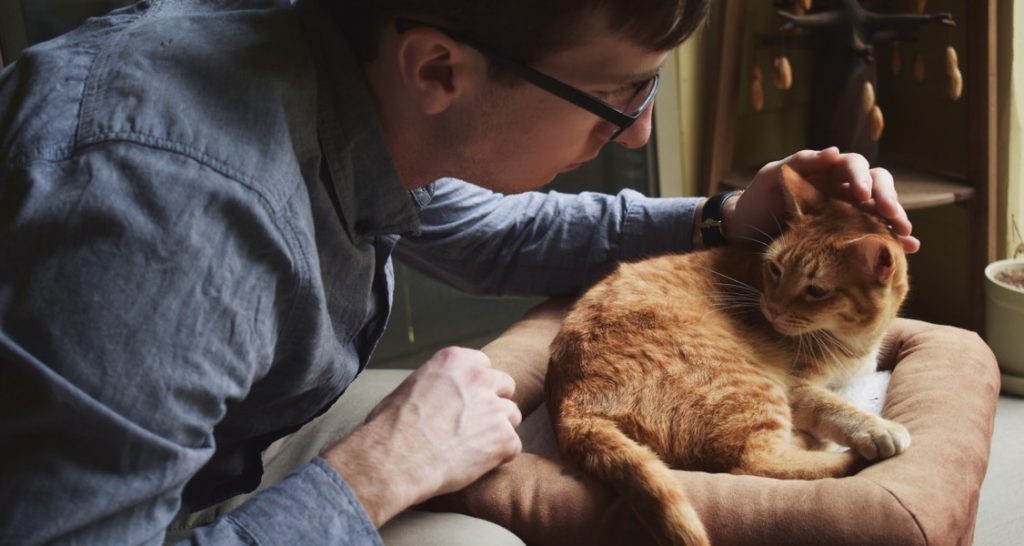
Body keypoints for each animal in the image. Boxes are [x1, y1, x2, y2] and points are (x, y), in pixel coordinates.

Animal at [544, 164, 913, 544]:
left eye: (816, 290)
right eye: (775, 269)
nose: (772, 308)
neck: (853, 341)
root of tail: (570, 408)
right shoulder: (796, 387)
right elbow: (833, 406)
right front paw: (875, 429)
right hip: (752, 387)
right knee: (753, 462)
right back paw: (836, 451)